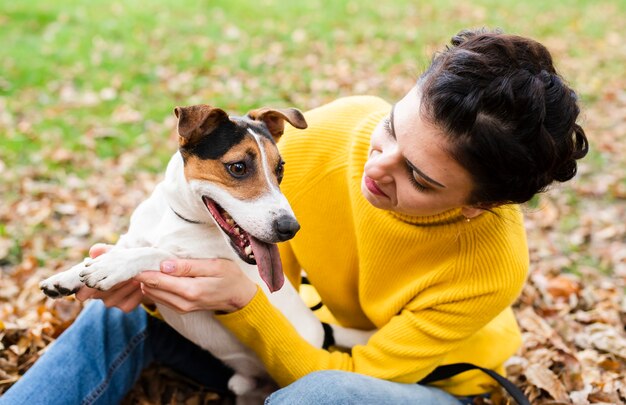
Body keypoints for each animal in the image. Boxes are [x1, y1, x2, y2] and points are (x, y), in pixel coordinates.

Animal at [39, 104, 370, 400]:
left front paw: (112, 267)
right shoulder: (134, 238)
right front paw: (65, 277)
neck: (178, 219)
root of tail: (321, 331)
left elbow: (157, 254)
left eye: (280, 169)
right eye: (238, 167)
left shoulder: (199, 269)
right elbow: (119, 250)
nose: (290, 227)